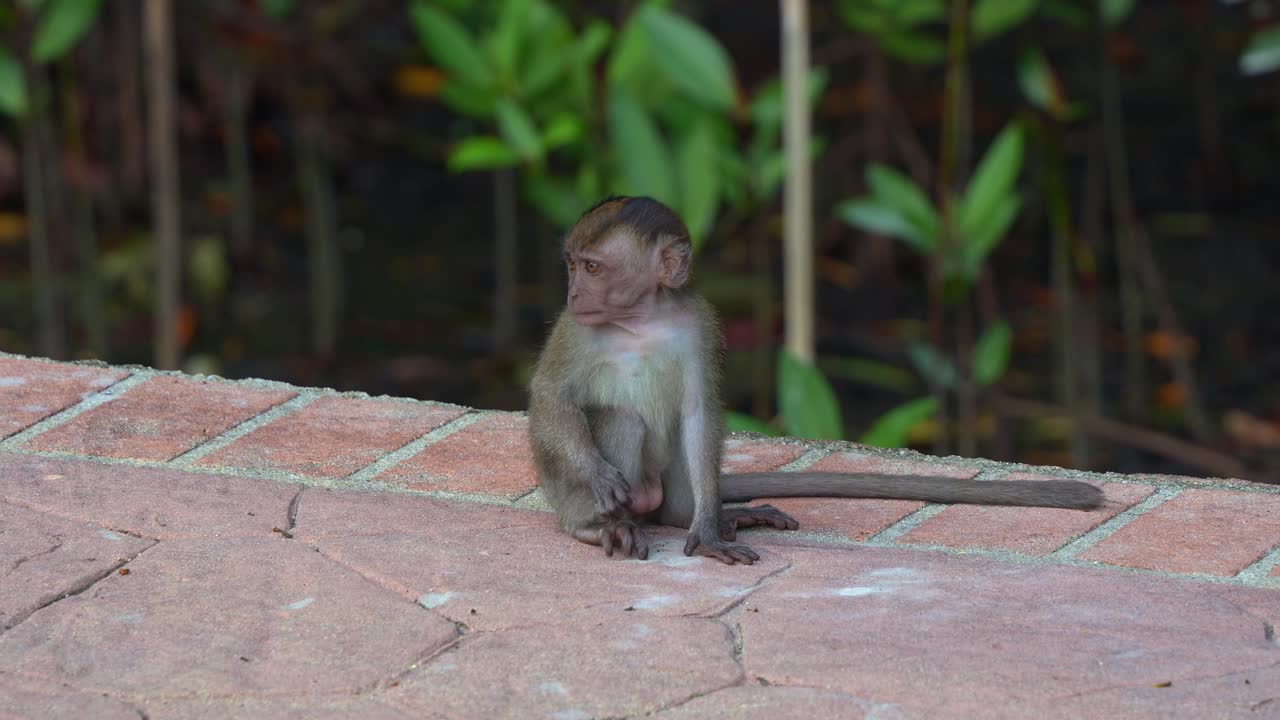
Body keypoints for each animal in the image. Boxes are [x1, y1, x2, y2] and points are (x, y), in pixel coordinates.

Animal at [528, 196, 1104, 565]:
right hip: (565, 491)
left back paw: (692, 516)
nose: (575, 293)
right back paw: (599, 526)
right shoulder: (574, 330)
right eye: (573, 266)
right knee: (620, 422)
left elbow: (700, 413)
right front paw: (598, 477)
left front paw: (710, 529)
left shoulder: (698, 323)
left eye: (593, 268)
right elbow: (551, 397)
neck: (641, 318)